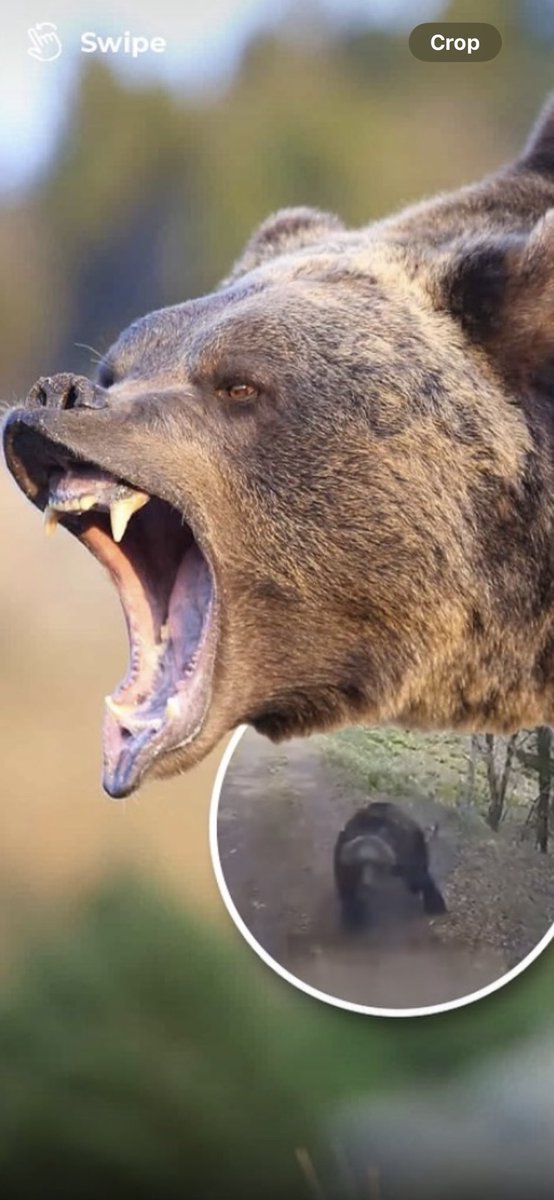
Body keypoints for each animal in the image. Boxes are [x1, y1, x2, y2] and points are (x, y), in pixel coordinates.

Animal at [333, 801, 446, 930]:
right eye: (359, 865)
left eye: (376, 864)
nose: (367, 882)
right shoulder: (343, 859)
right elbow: (348, 890)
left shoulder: (410, 851)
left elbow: (421, 878)